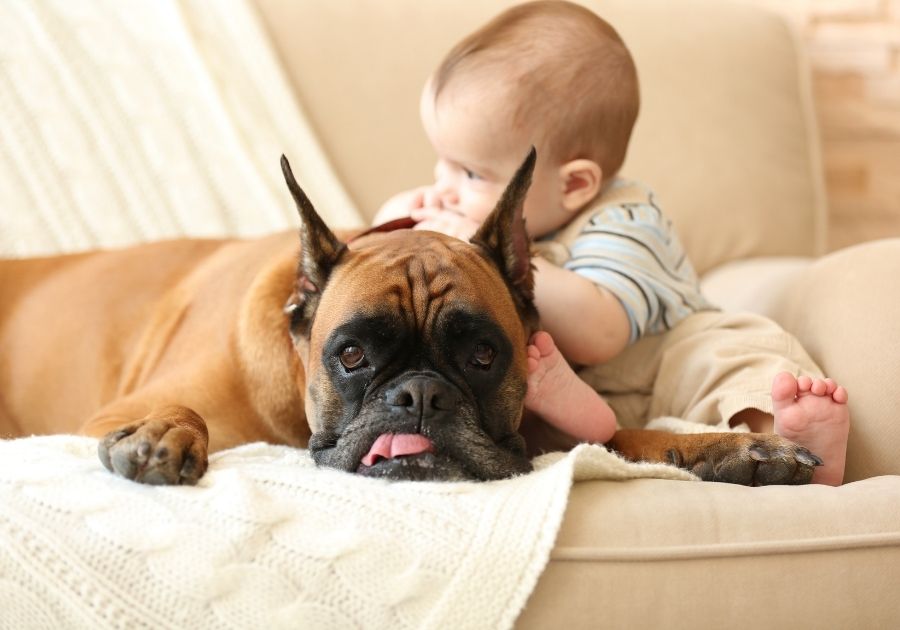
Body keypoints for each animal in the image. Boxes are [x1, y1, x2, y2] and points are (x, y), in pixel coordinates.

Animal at [0, 151, 820, 486]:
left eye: (484, 357)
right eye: (352, 356)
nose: (419, 395)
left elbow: (627, 436)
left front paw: (732, 451)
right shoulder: (108, 412)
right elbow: (176, 410)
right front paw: (165, 434)